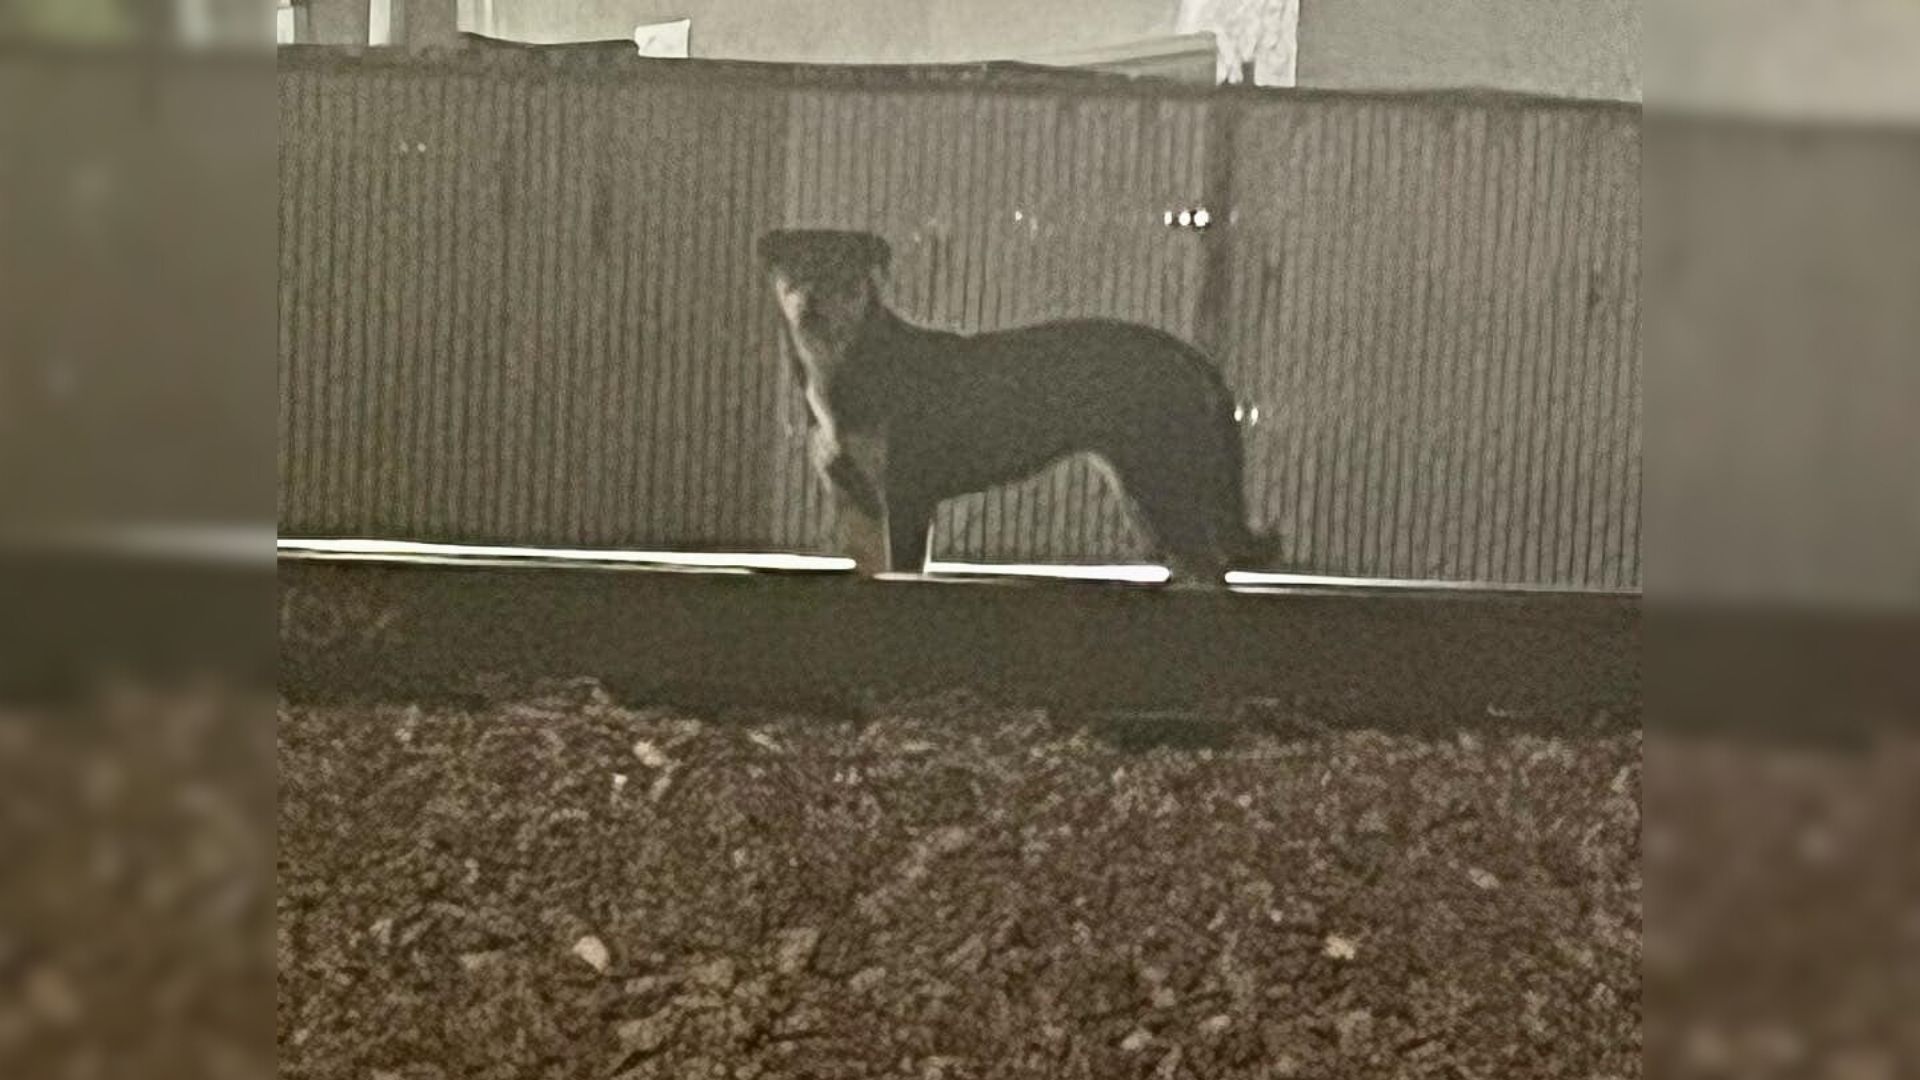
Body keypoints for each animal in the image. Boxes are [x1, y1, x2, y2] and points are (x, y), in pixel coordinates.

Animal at [752, 224, 1274, 580]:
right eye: (794, 267)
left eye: (843, 269)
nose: (811, 302)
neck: (846, 364)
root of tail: (1188, 353)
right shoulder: (852, 497)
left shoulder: (905, 491)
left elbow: (901, 570)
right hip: (1148, 490)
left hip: (1162, 479)